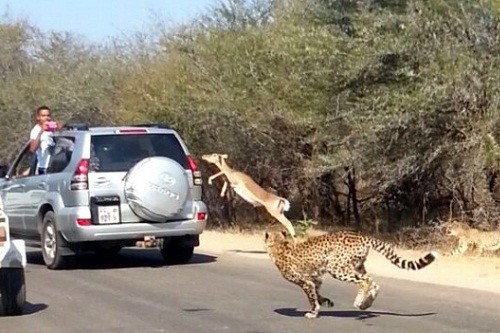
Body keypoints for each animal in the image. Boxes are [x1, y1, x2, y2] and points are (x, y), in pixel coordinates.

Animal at [266, 230, 438, 318]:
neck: (280, 245)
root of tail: (360, 236)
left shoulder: (306, 282)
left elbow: (312, 297)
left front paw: (313, 312)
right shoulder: (315, 279)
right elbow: (317, 293)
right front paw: (327, 302)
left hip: (336, 268)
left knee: (365, 281)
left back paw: (358, 302)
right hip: (357, 266)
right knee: (373, 281)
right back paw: (365, 304)